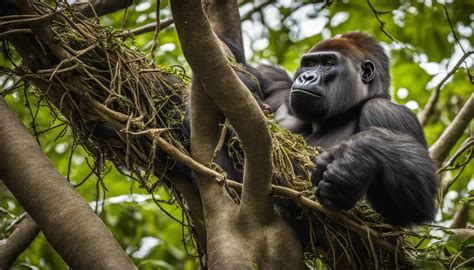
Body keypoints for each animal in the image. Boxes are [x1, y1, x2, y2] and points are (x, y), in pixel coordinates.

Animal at [262, 31, 438, 226]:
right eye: (309, 64)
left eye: (328, 64)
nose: (306, 77)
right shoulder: (284, 93)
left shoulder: (387, 111)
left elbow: (412, 208)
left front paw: (355, 161)